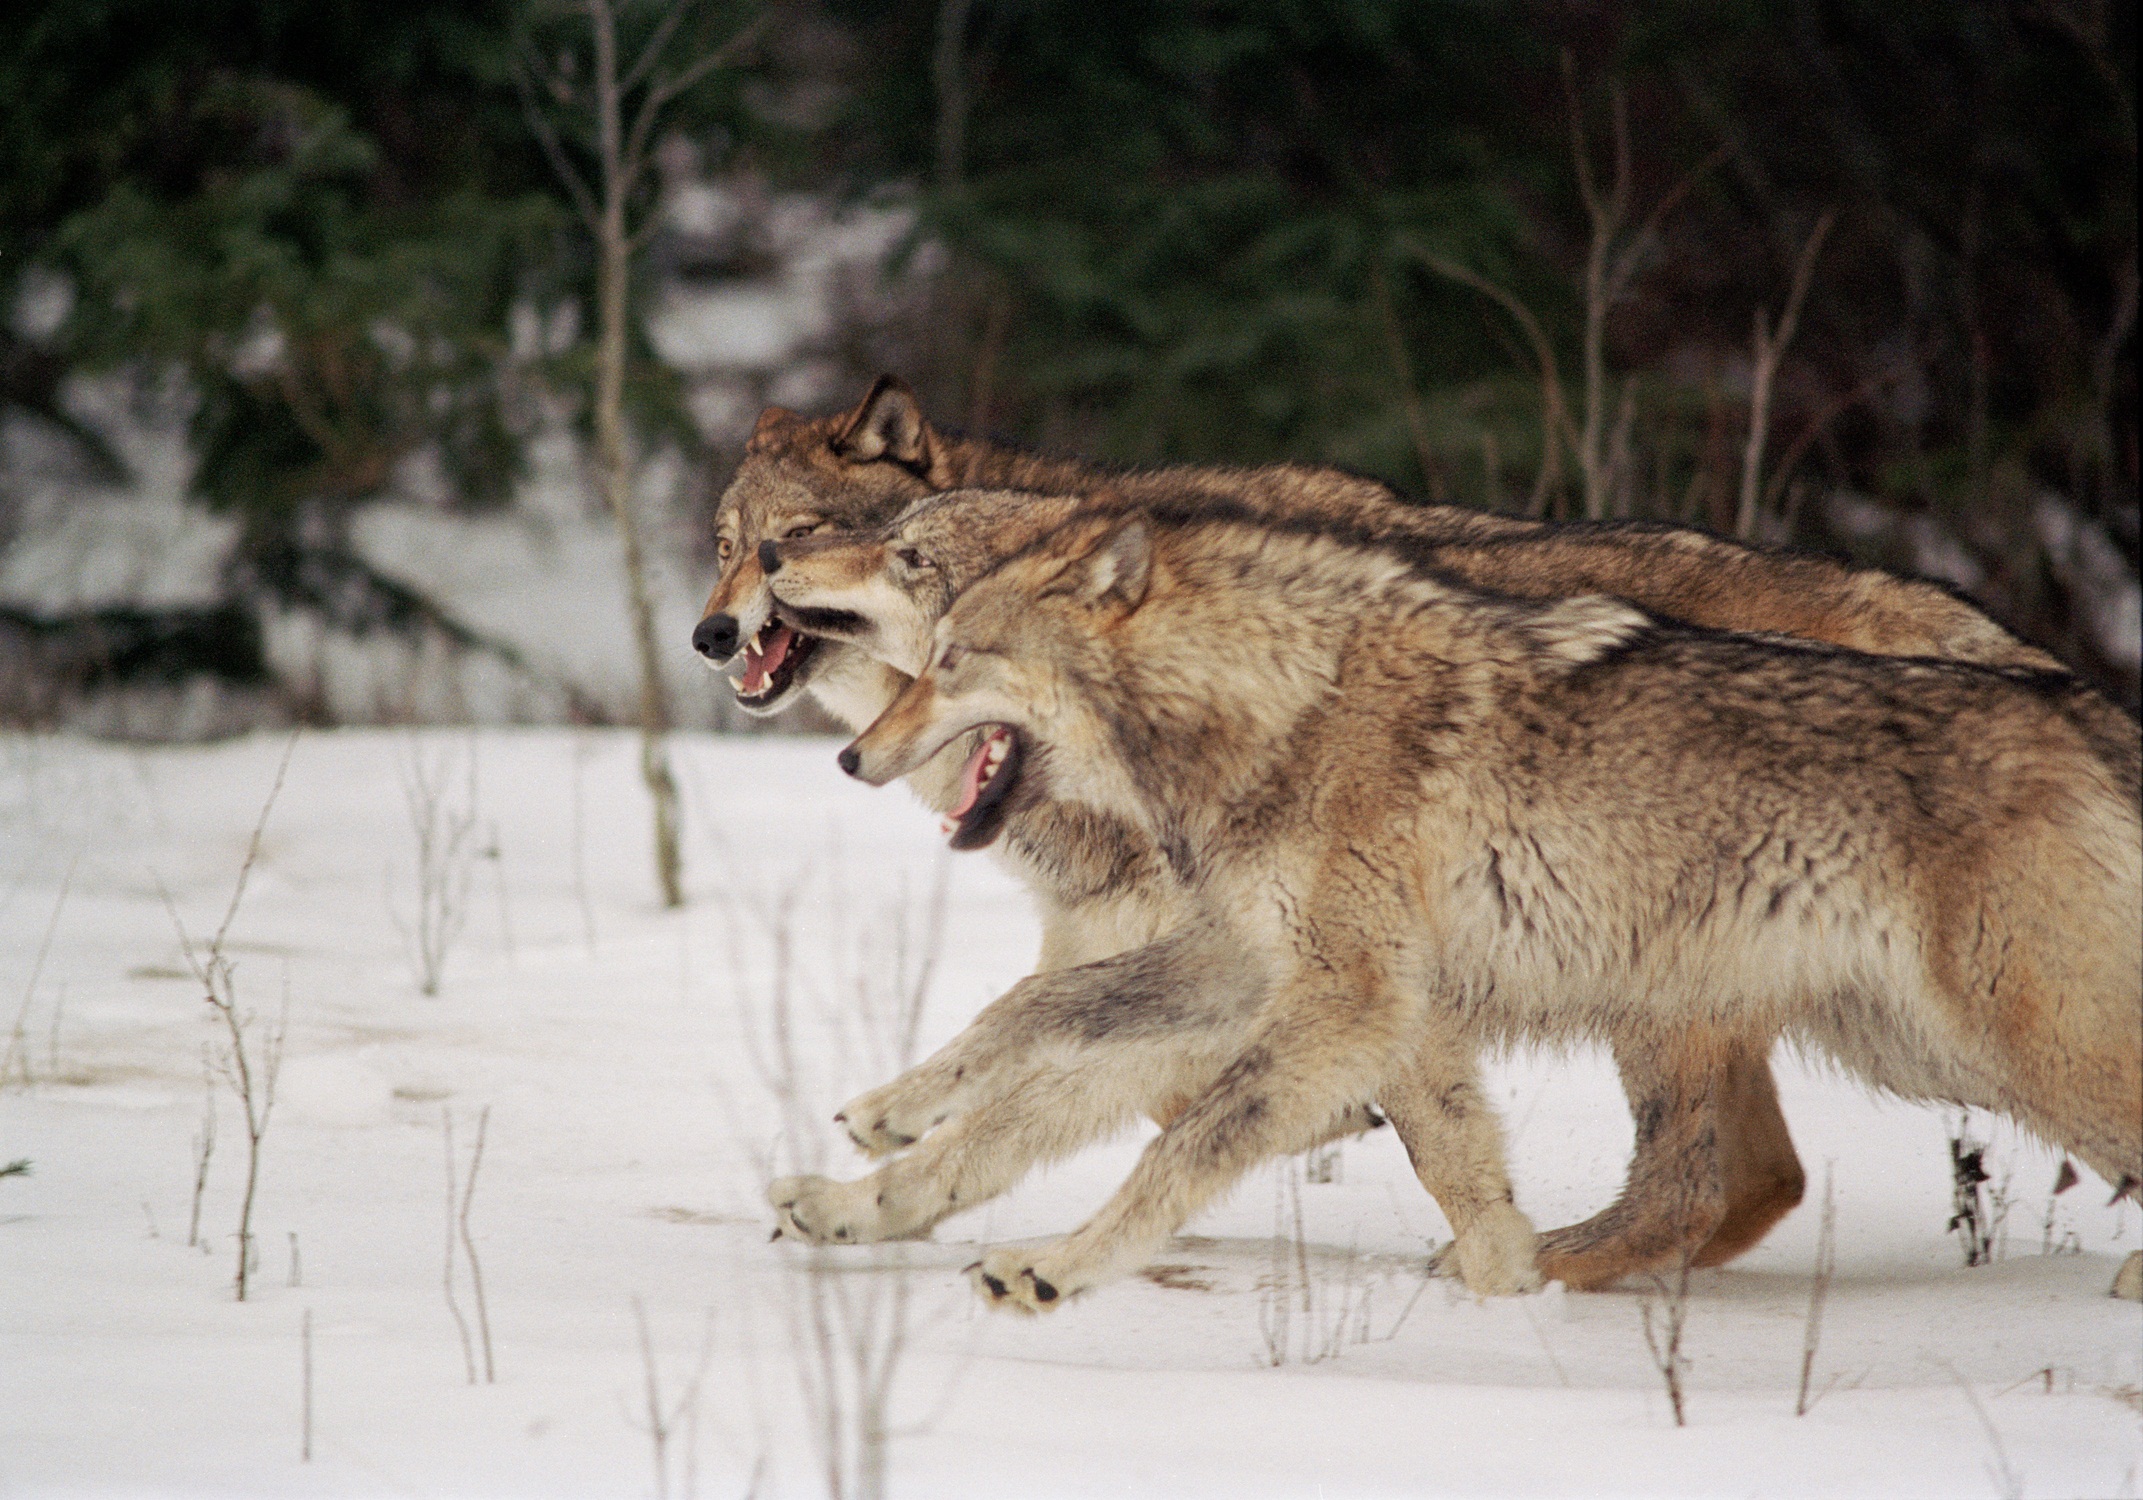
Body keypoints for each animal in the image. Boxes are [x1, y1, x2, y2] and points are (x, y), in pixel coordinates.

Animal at [700, 376, 2064, 1284]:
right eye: (726, 548)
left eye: (811, 540)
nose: (715, 626)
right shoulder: (1172, 950)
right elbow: (1017, 1054)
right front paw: (873, 1177)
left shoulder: (1339, 969)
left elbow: (1092, 1099)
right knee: (1757, 1179)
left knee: (1698, 1178)